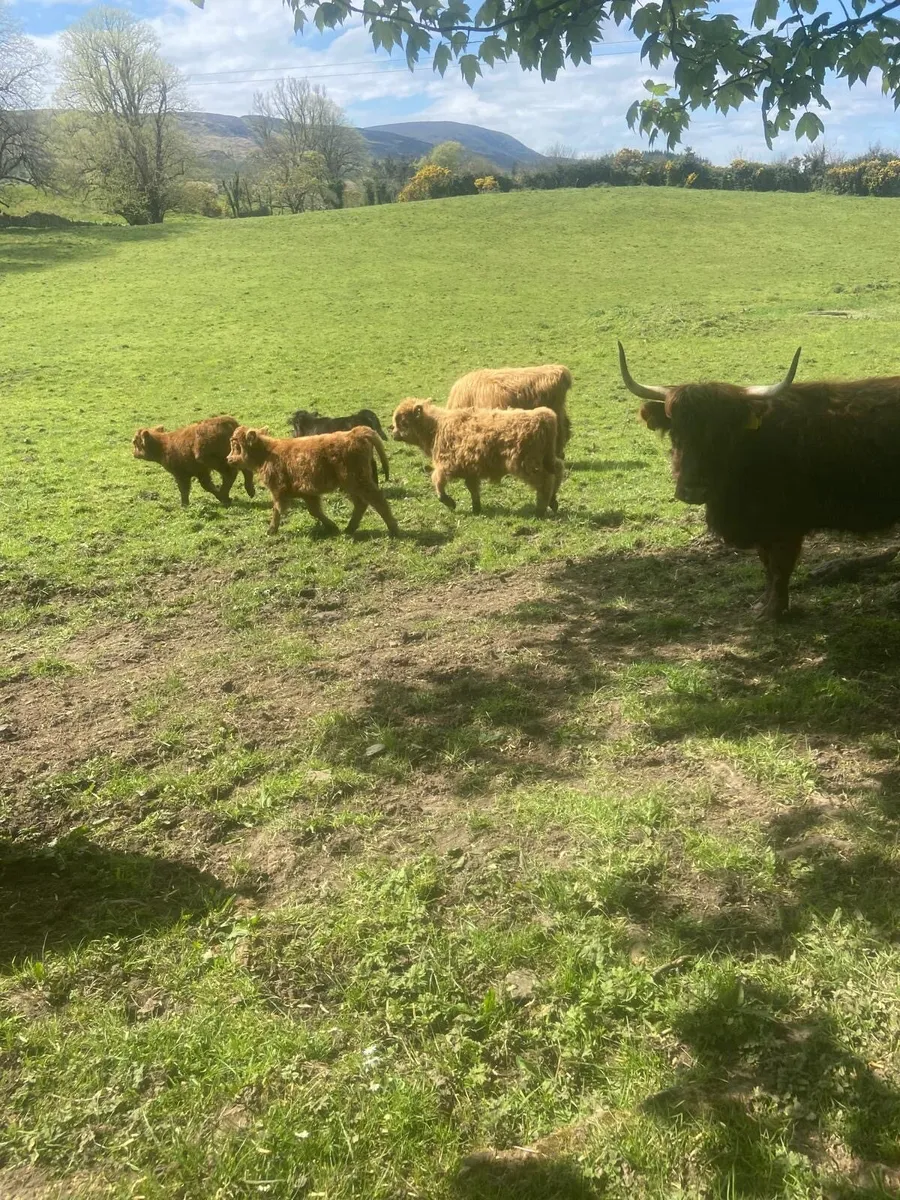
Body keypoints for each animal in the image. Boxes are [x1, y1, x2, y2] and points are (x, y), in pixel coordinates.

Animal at [226, 425, 398, 537]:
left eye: (236, 445)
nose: (228, 459)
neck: (267, 453)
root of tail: (355, 433)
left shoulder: (278, 490)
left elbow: (277, 510)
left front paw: (271, 530)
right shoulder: (306, 492)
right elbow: (315, 511)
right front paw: (332, 527)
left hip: (357, 481)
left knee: (377, 499)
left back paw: (393, 528)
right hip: (350, 484)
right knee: (362, 503)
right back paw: (349, 529)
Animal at [390, 399, 564, 517]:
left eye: (403, 422)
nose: (392, 433)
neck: (436, 428)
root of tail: (543, 416)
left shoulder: (445, 465)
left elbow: (437, 481)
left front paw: (448, 502)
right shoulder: (470, 470)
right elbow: (473, 489)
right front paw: (476, 509)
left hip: (526, 464)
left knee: (545, 481)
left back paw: (540, 510)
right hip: (546, 459)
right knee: (558, 470)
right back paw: (553, 501)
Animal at [619, 340, 900, 619]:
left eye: (724, 435)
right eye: (676, 434)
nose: (693, 491)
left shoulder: (786, 524)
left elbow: (780, 566)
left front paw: (774, 611)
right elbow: (766, 564)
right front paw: (763, 603)